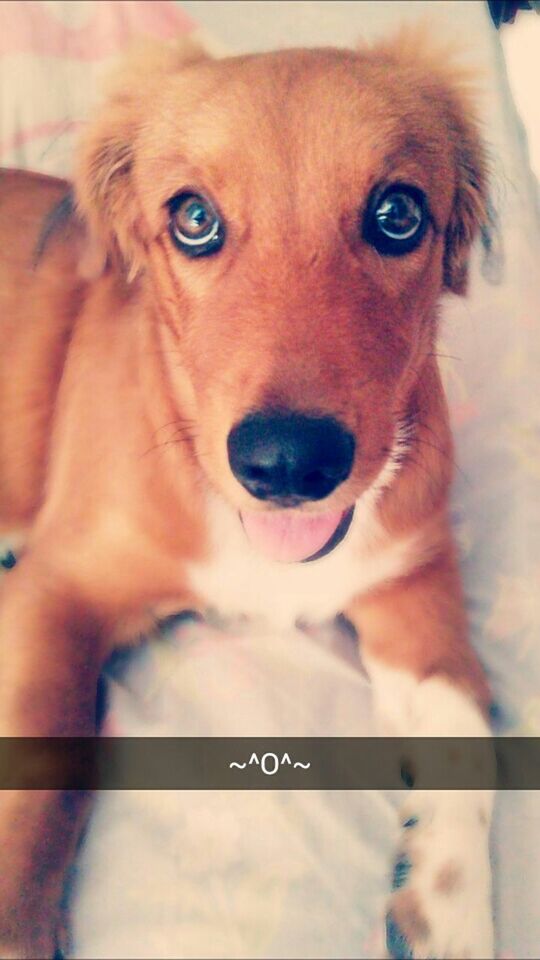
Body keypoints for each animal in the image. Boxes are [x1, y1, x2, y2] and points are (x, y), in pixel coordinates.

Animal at [0, 31, 494, 960]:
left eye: (398, 213)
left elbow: (472, 743)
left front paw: (448, 914)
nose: (289, 465)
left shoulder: (414, 586)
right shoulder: (55, 588)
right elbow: (40, 778)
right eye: (194, 219)